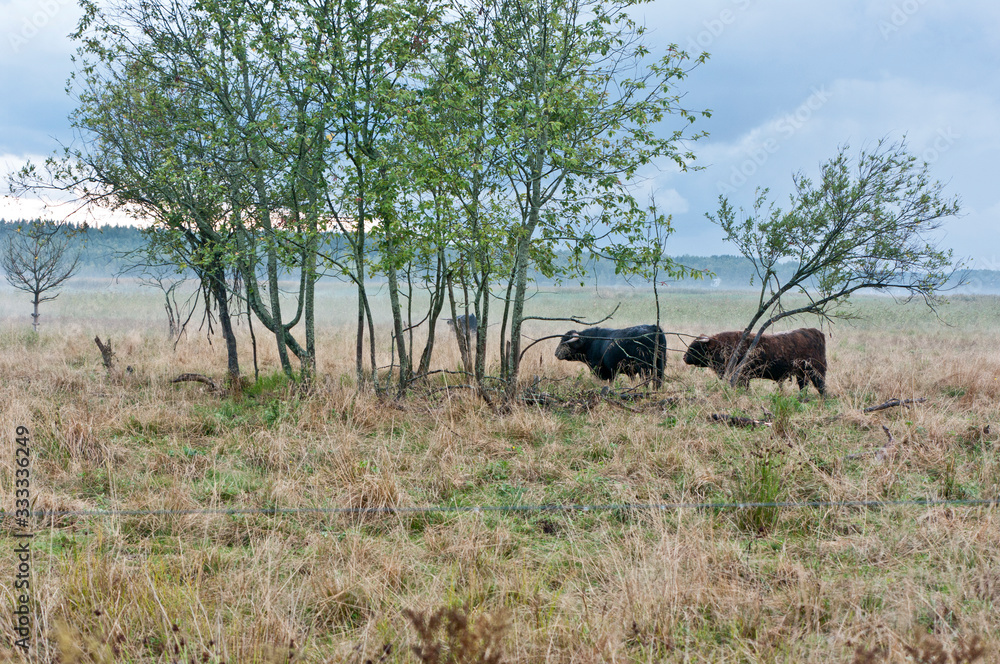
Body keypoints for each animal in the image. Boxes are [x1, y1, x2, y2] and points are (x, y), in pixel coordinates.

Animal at [683, 327, 827, 395]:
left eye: (695, 346)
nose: (684, 357)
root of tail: (814, 332)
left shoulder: (742, 377)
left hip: (816, 371)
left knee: (821, 387)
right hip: (801, 374)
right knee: (803, 386)